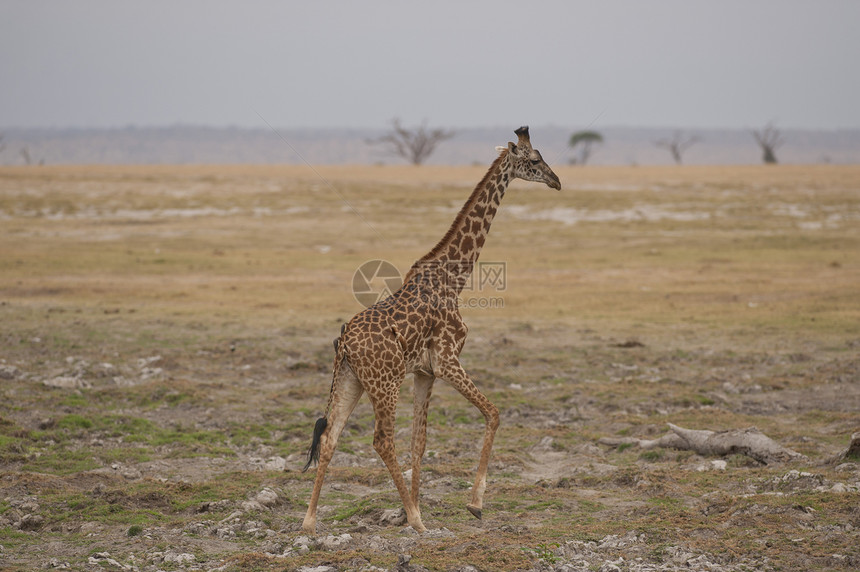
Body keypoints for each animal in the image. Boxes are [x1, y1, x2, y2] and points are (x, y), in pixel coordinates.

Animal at [298, 127, 560, 536]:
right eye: (534, 160)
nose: (556, 181)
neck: (454, 278)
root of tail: (344, 344)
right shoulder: (448, 360)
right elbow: (493, 413)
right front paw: (471, 504)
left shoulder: (425, 371)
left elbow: (419, 442)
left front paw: (417, 507)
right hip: (385, 383)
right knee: (381, 441)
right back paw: (417, 521)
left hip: (351, 380)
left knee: (330, 436)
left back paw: (309, 522)